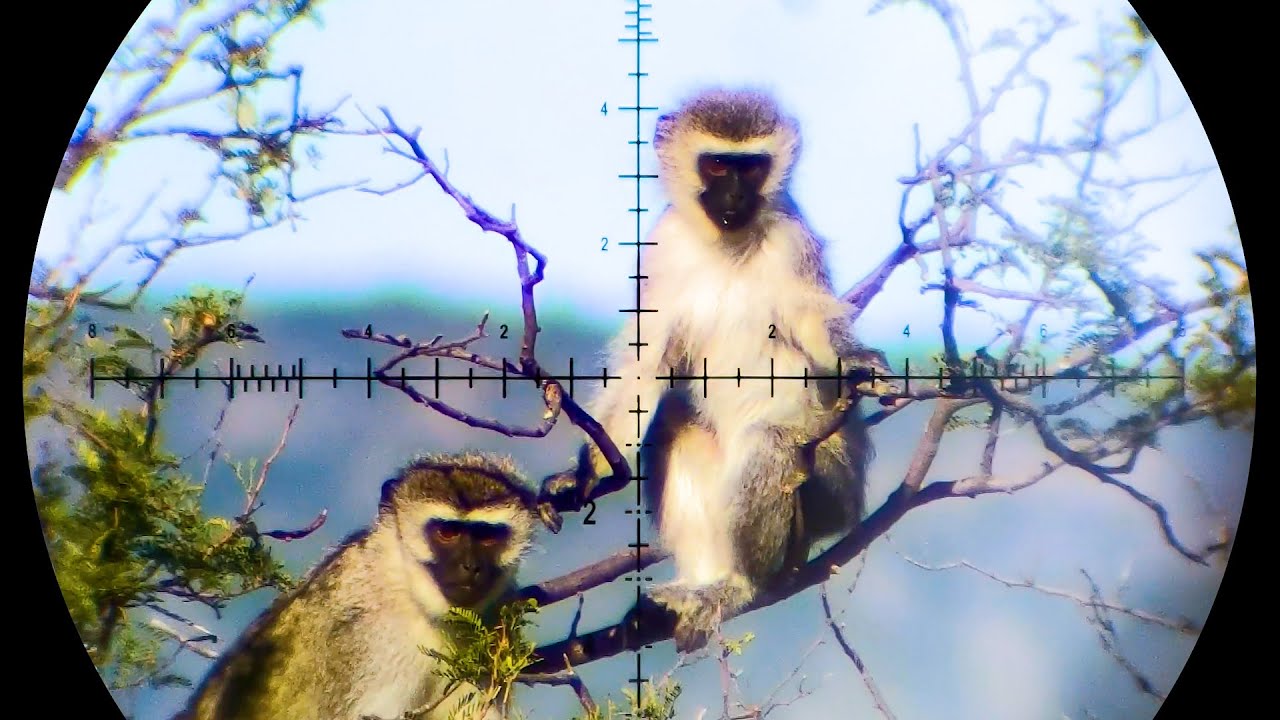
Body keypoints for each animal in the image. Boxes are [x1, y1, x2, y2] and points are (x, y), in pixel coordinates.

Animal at [542, 87, 874, 653]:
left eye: (752, 168)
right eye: (718, 165)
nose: (735, 198)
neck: (727, 248)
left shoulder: (793, 242)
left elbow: (816, 327)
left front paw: (854, 359)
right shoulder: (663, 248)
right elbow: (645, 365)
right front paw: (583, 473)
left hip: (830, 489)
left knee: (769, 443)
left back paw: (742, 585)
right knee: (673, 425)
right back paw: (695, 589)